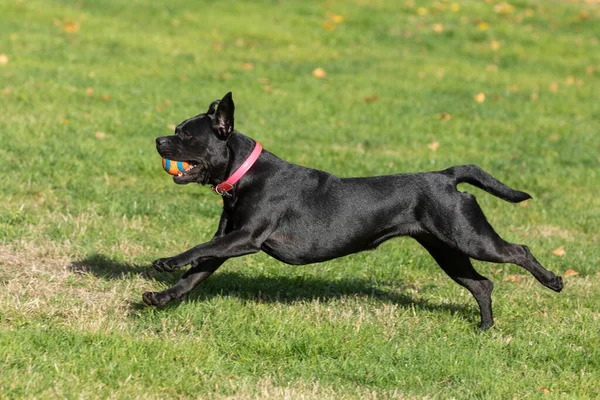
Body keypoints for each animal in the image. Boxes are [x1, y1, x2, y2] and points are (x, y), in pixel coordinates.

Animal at [148, 92, 564, 330]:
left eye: (187, 136)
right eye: (176, 129)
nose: (157, 140)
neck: (245, 174)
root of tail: (446, 177)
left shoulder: (245, 238)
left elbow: (196, 250)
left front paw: (167, 261)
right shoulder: (228, 240)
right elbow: (196, 273)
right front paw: (161, 298)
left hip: (472, 238)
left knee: (519, 251)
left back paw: (553, 281)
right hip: (447, 250)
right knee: (482, 284)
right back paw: (485, 328)